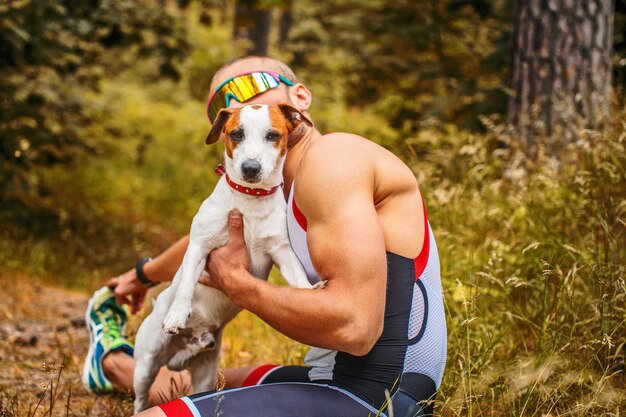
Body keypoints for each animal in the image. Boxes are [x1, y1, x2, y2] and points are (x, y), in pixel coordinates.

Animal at [132, 103, 316, 410]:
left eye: (273, 135)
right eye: (236, 134)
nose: (250, 168)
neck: (251, 200)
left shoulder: (281, 250)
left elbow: (298, 278)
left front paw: (308, 291)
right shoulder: (199, 246)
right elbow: (185, 285)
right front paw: (177, 314)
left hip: (205, 374)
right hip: (146, 364)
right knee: (140, 396)